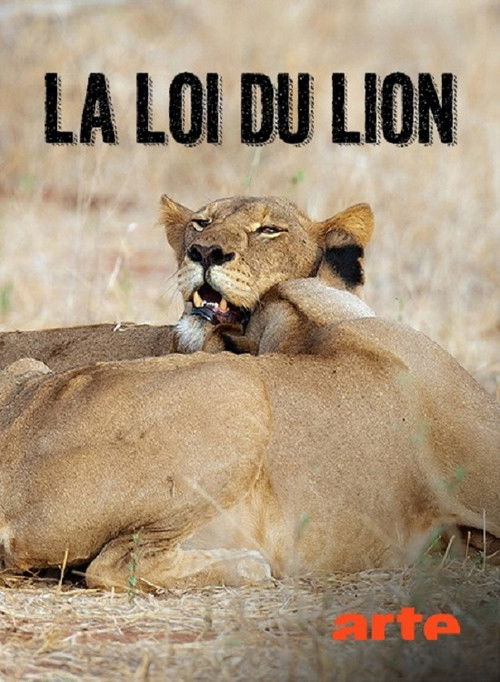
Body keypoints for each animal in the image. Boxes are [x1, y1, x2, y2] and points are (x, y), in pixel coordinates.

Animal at [0, 198, 498, 591]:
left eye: (269, 230)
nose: (203, 251)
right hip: (237, 390)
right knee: (116, 564)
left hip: (28, 370)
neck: (310, 322)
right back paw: (250, 565)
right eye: (201, 223)